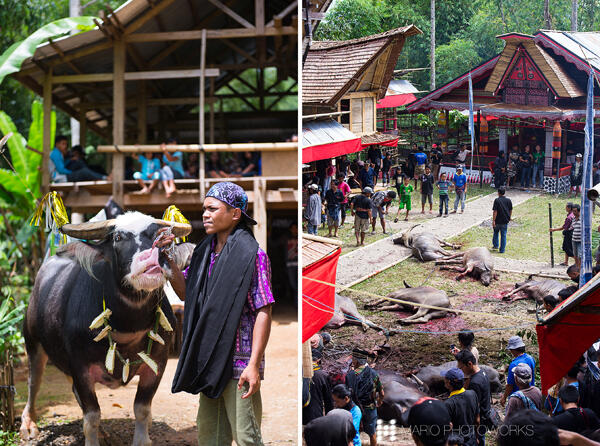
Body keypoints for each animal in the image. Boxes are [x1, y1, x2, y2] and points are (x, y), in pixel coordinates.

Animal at [21, 213, 190, 446]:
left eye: (160, 236)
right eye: (118, 237)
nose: (152, 258)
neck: (127, 327)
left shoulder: (158, 363)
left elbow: (142, 409)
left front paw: (142, 437)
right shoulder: (80, 367)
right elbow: (92, 416)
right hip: (32, 341)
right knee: (33, 382)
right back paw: (28, 425)